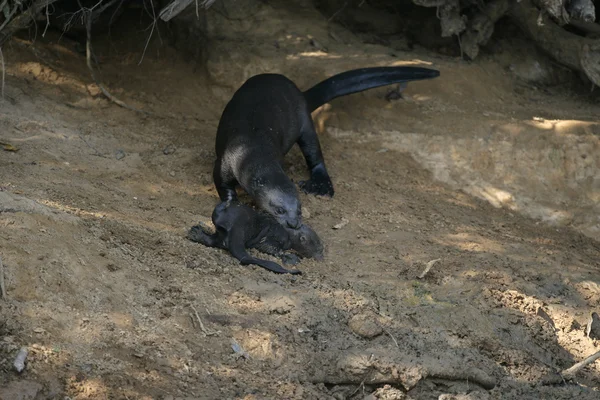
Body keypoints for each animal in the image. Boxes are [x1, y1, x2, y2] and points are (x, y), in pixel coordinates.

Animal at [190, 200, 326, 276]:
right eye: (320, 250)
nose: (322, 259)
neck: (289, 233)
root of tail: (237, 225)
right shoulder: (276, 237)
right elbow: (272, 248)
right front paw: (290, 256)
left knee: (215, 240)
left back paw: (195, 233)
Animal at [213, 66, 438, 228]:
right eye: (279, 209)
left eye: (300, 208)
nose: (294, 224)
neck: (250, 147)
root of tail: (300, 93)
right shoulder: (226, 160)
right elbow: (221, 183)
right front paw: (231, 203)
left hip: (305, 121)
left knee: (315, 153)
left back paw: (321, 185)